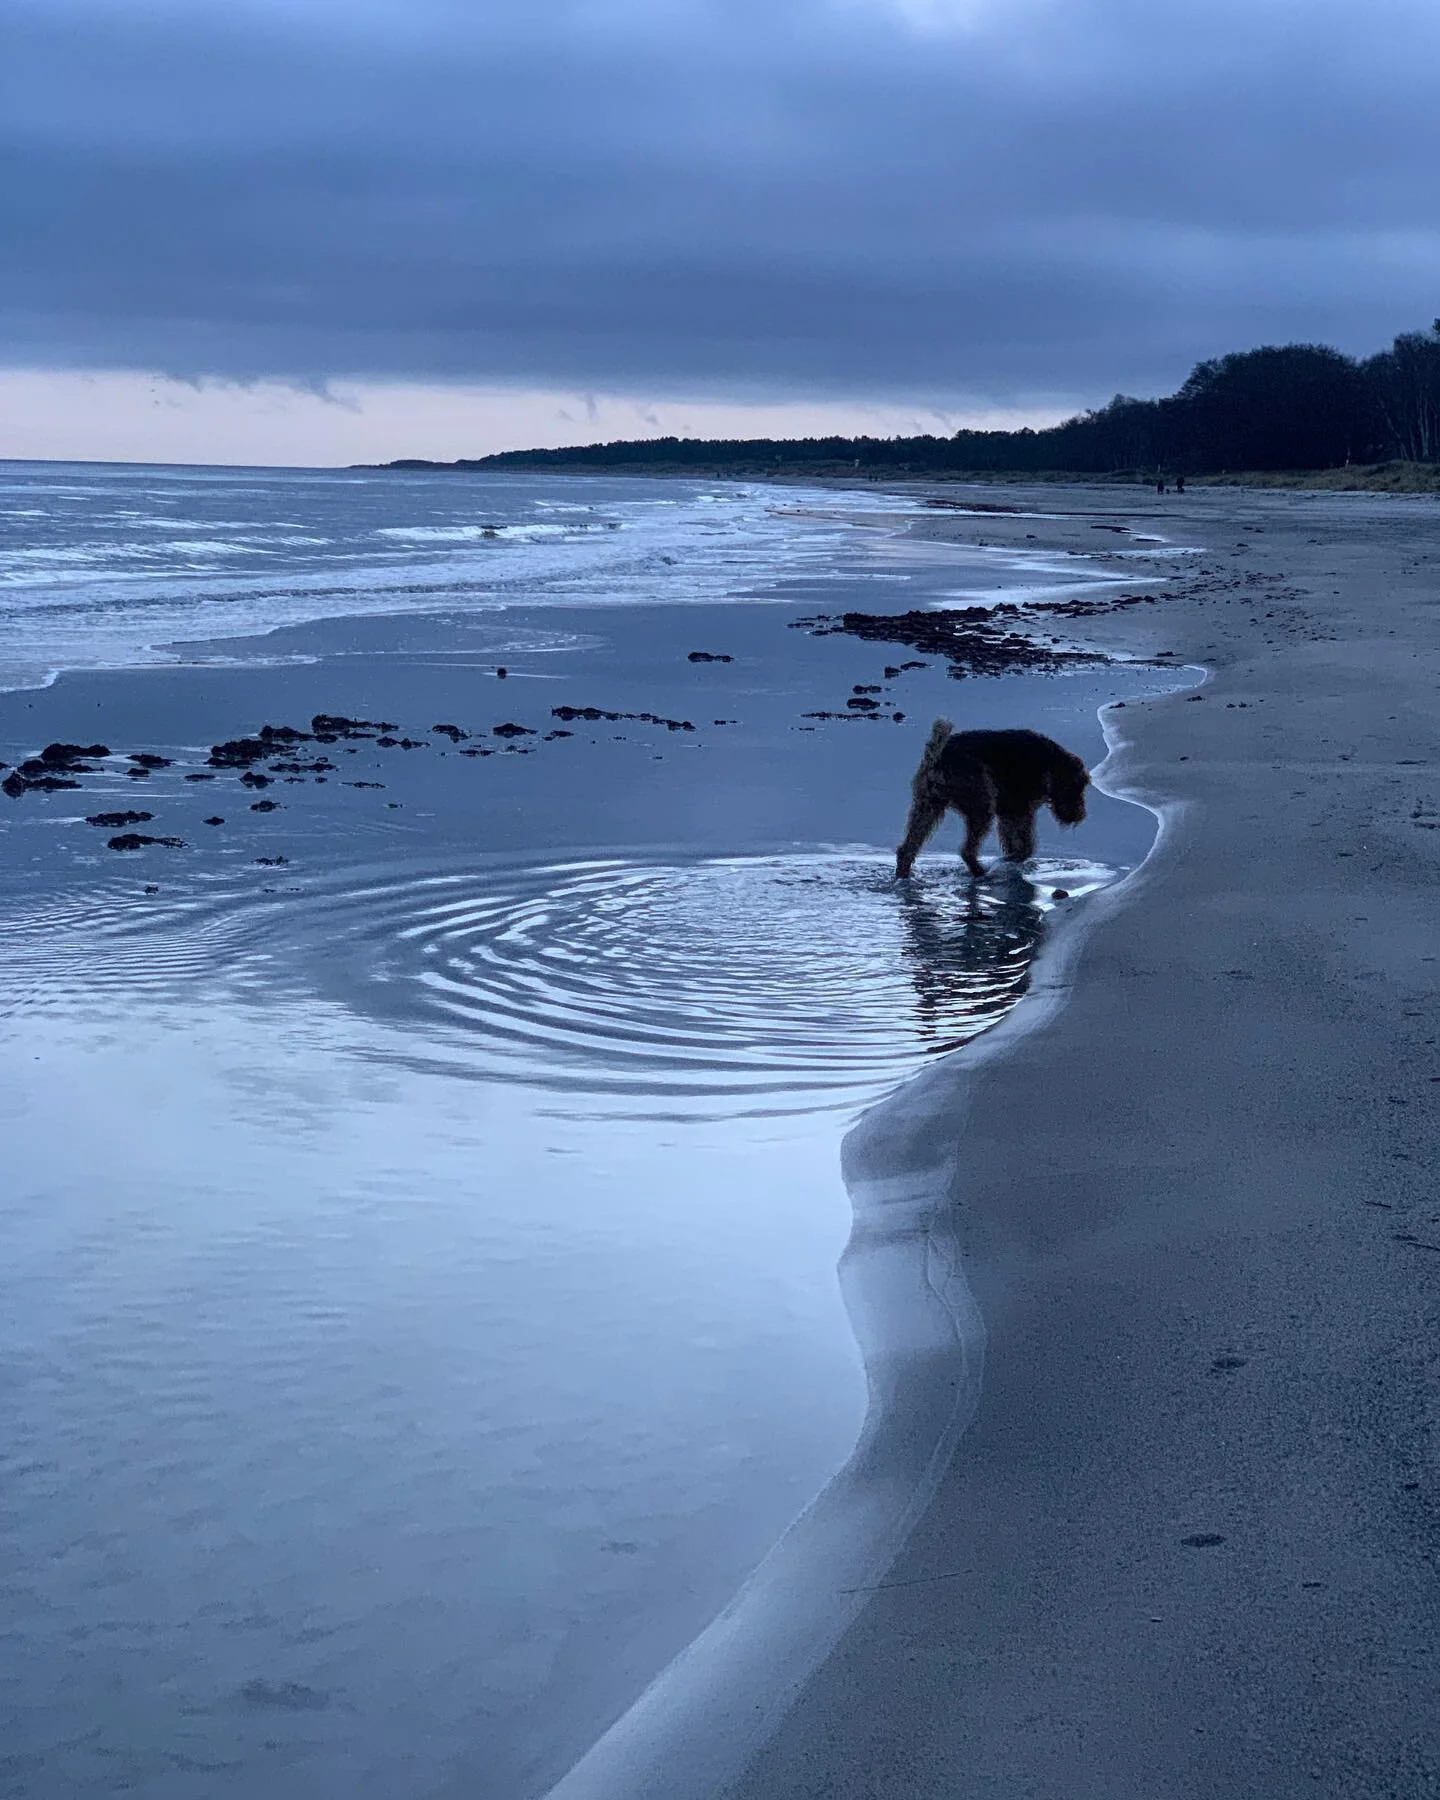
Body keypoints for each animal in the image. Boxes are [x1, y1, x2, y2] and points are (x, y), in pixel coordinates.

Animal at [892, 720, 1087, 882]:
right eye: (1078, 787)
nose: (1079, 816)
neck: (1051, 763)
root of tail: (938, 758)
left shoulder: (1009, 811)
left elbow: (1014, 843)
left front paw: (1011, 860)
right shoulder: (1020, 809)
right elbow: (1026, 846)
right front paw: (1010, 860)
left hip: (928, 806)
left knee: (907, 849)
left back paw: (903, 876)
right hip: (981, 807)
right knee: (967, 850)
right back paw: (981, 873)